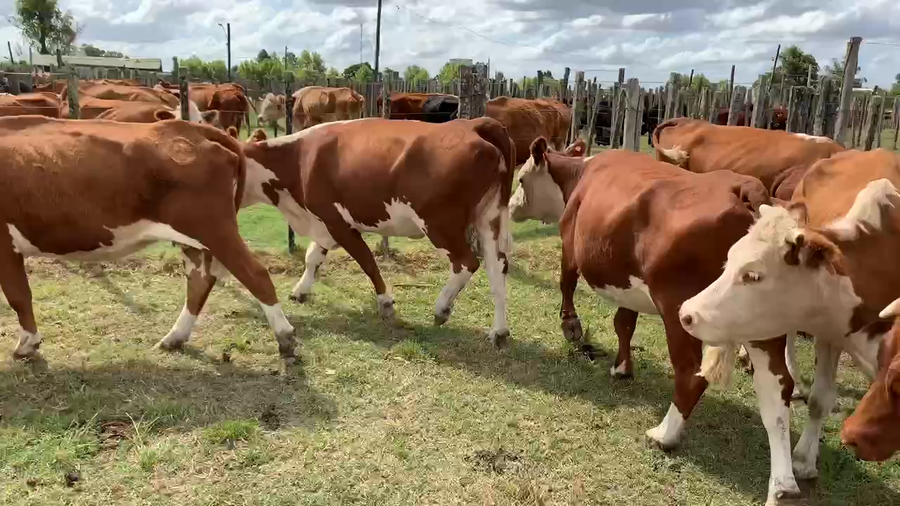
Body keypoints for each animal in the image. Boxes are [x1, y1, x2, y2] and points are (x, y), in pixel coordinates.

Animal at [0, 116, 297, 363]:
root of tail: (191, 128)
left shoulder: (4, 244)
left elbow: (18, 295)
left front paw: (27, 344)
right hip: (197, 237)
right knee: (200, 281)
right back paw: (174, 337)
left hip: (213, 228)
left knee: (255, 274)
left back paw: (285, 337)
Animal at [240, 117, 514, 345]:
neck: (299, 158)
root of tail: (472, 123)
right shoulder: (324, 222)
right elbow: (312, 258)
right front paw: (300, 290)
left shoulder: (338, 222)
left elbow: (367, 261)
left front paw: (385, 301)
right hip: (488, 218)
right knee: (497, 266)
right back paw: (498, 331)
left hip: (440, 224)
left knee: (466, 262)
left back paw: (441, 308)